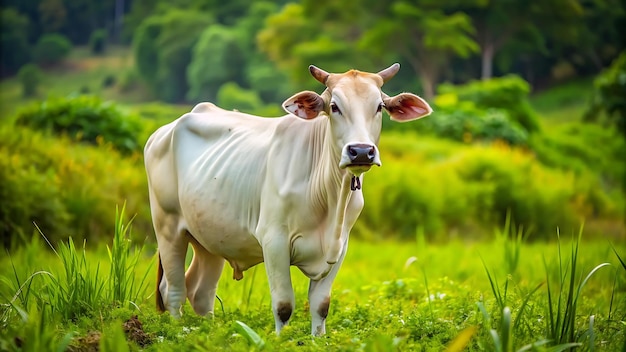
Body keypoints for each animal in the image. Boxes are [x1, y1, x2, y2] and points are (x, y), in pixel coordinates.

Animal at [144, 63, 432, 336]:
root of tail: (164, 130)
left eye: (379, 107)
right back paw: (177, 331)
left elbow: (321, 305)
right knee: (173, 290)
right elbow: (283, 306)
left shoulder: (340, 247)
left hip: (210, 238)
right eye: (334, 106)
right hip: (168, 228)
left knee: (200, 292)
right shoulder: (274, 241)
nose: (361, 151)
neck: (330, 197)